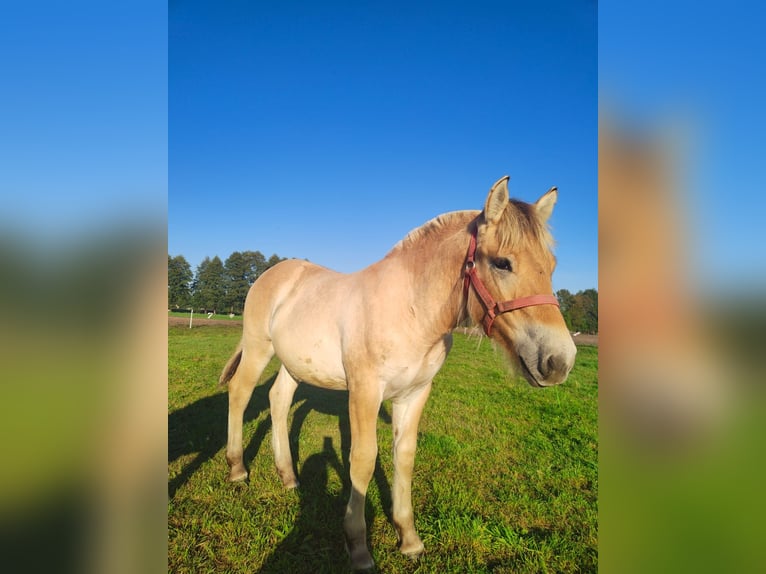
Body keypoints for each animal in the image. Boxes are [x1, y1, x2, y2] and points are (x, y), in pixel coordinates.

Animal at [219, 177, 580, 572]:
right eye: (502, 263)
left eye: (551, 265)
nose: (559, 361)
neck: (411, 309)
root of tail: (272, 274)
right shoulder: (364, 392)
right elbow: (362, 462)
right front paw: (359, 549)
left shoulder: (415, 394)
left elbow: (403, 458)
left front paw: (408, 539)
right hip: (259, 348)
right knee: (240, 393)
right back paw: (237, 469)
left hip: (294, 363)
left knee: (279, 400)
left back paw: (288, 476)